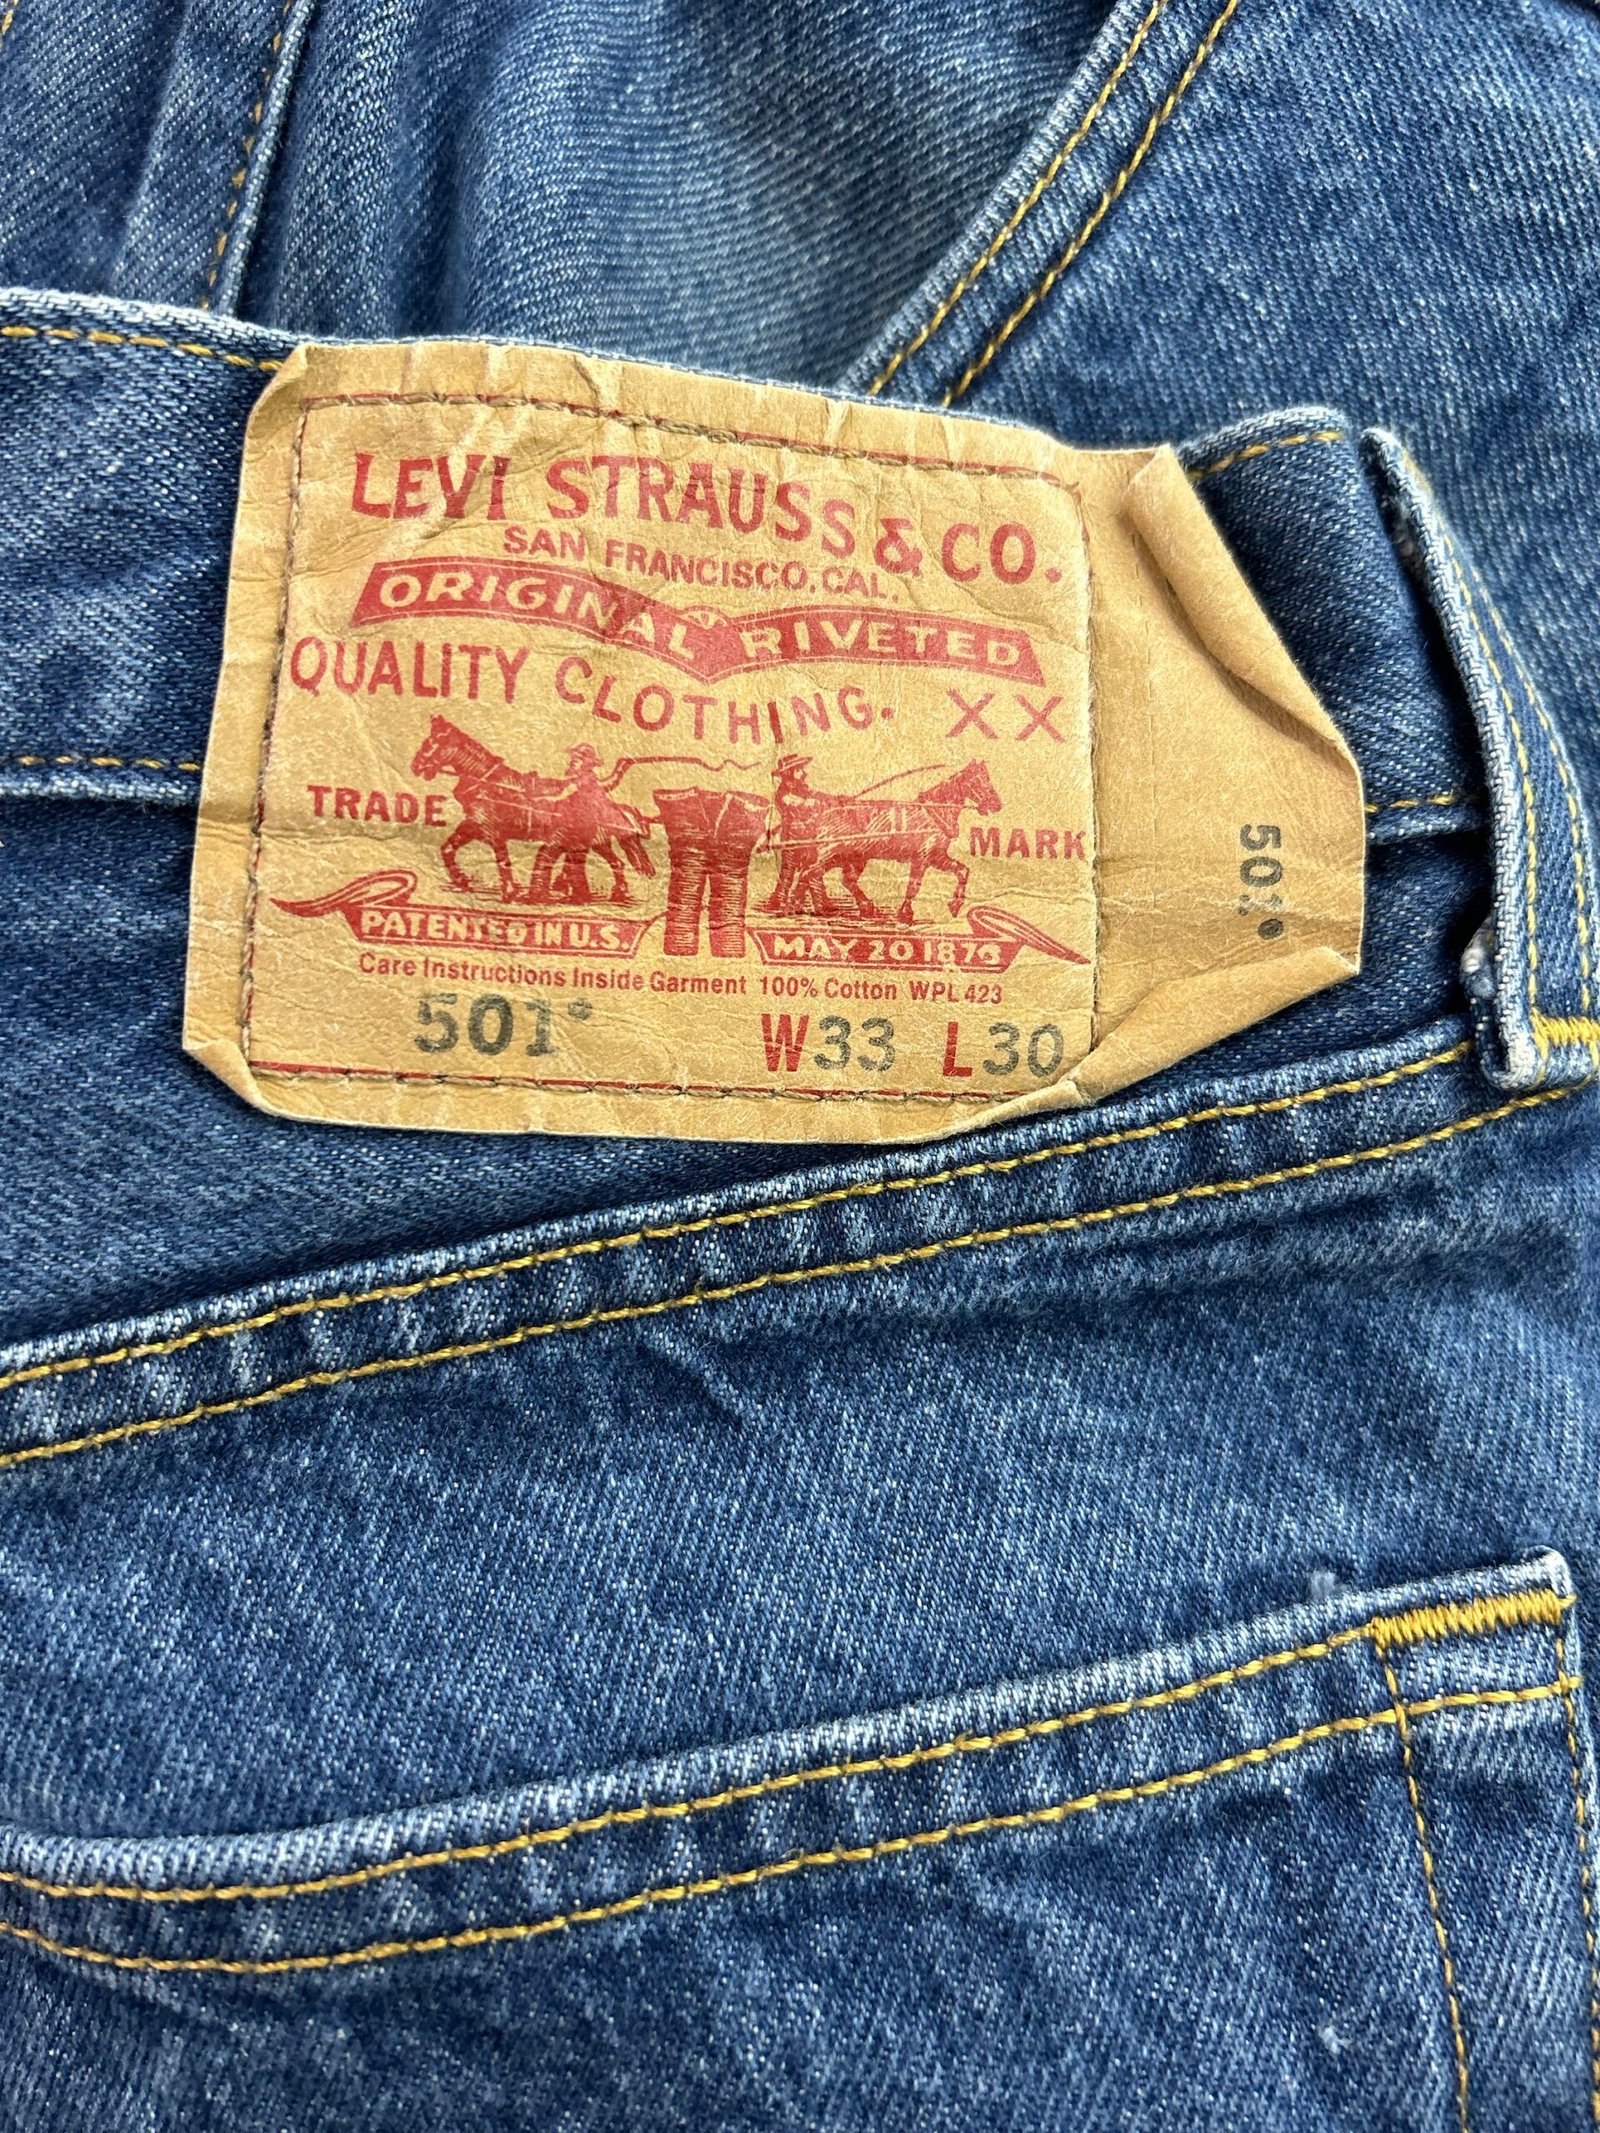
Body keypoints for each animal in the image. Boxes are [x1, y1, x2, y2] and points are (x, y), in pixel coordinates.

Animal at [409, 716, 653, 905]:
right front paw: (462, 881)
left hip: (593, 840)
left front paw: (510, 892)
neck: (487, 784)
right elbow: (448, 848)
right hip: (595, 841)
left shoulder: (493, 832)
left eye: (433, 743)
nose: (416, 766)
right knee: (610, 862)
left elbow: (502, 860)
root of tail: (606, 799)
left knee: (611, 862)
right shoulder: (474, 826)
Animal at [769, 760, 1002, 925]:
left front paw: (955, 905)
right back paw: (794, 906)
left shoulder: (937, 857)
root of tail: (824, 814)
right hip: (830, 854)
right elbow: (914, 886)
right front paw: (905, 914)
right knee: (807, 873)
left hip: (852, 857)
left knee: (840, 879)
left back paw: (861, 908)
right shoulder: (922, 858)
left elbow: (962, 870)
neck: (934, 812)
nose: (996, 805)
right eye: (979, 781)